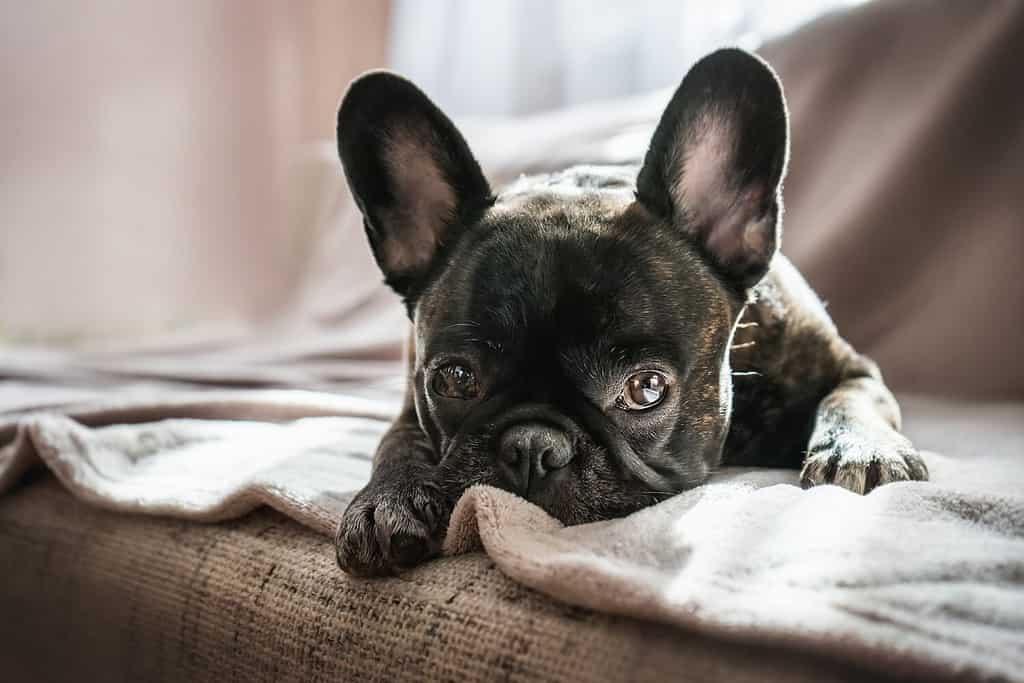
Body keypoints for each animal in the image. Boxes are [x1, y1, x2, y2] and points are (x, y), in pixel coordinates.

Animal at [333, 46, 929, 577]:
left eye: (646, 389)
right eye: (455, 379)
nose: (530, 446)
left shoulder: (851, 367)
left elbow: (853, 398)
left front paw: (863, 450)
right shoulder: (411, 401)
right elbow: (397, 442)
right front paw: (386, 501)